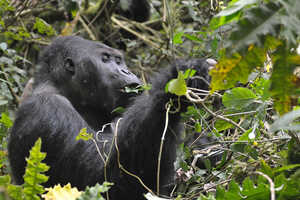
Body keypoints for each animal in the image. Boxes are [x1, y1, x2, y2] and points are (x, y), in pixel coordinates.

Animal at [8, 36, 212, 200]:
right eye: (105, 59)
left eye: (120, 61)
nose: (126, 71)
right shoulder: (48, 109)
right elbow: (103, 180)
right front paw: (172, 88)